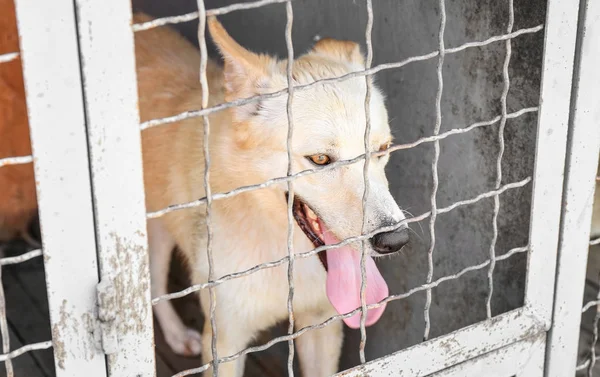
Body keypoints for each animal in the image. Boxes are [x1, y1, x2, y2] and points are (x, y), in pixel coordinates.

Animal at [134, 12, 410, 376]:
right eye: (320, 159)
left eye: (382, 149)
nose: (395, 240)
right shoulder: (226, 343)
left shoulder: (323, 325)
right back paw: (177, 334)